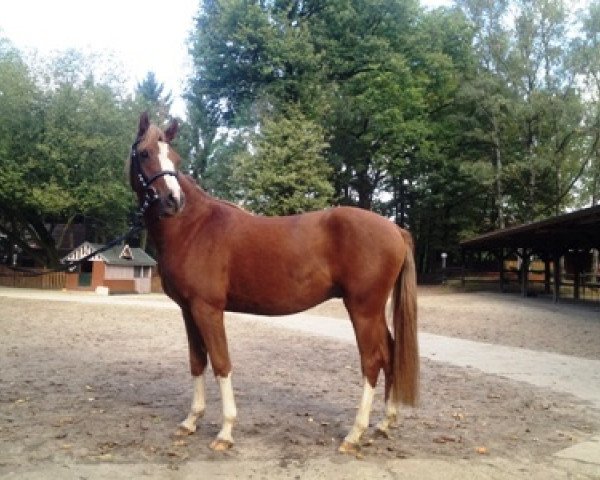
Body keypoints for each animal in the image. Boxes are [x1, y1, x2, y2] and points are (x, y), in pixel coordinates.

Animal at [126, 112, 418, 454]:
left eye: (174, 158)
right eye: (145, 153)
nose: (173, 201)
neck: (193, 227)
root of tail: (395, 229)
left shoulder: (208, 309)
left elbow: (221, 363)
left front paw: (225, 431)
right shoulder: (188, 310)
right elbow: (197, 361)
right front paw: (191, 421)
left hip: (363, 310)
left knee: (372, 361)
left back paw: (354, 434)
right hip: (372, 312)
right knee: (390, 353)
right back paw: (385, 423)